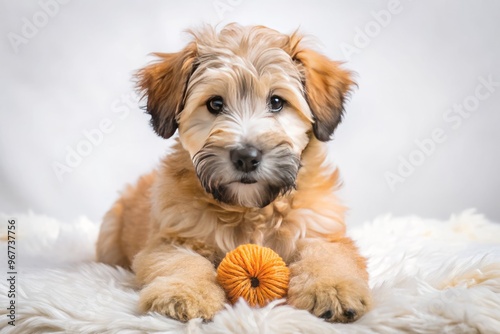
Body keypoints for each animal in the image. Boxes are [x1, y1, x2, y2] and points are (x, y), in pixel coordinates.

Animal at [96, 23, 372, 324]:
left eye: (277, 101)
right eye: (215, 104)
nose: (246, 158)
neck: (250, 211)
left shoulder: (322, 232)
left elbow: (326, 256)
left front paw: (333, 288)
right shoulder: (171, 240)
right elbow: (183, 262)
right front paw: (184, 292)